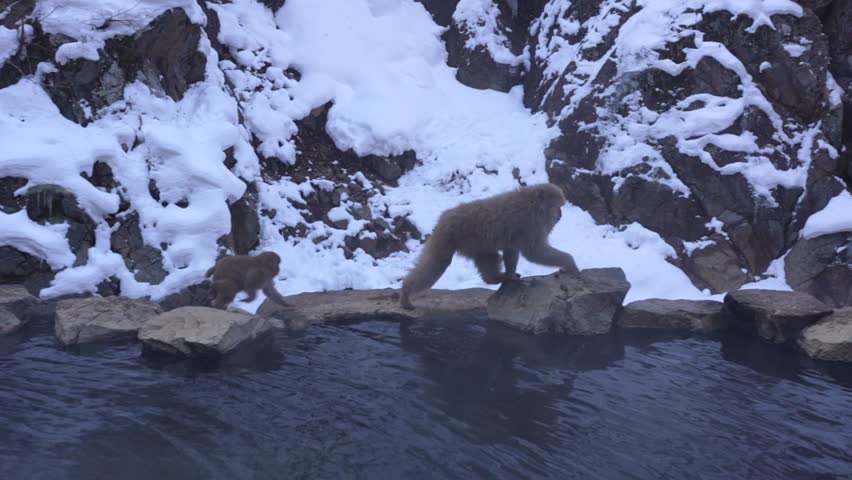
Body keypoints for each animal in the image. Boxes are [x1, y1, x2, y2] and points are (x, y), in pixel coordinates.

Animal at [399, 183, 579, 310]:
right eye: (558, 206)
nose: (560, 214)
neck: (533, 203)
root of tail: (442, 220)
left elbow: (512, 249)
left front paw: (511, 275)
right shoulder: (531, 223)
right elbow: (534, 252)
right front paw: (570, 263)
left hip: (470, 242)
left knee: (489, 257)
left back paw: (496, 278)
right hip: (448, 238)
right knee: (438, 263)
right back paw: (406, 293)